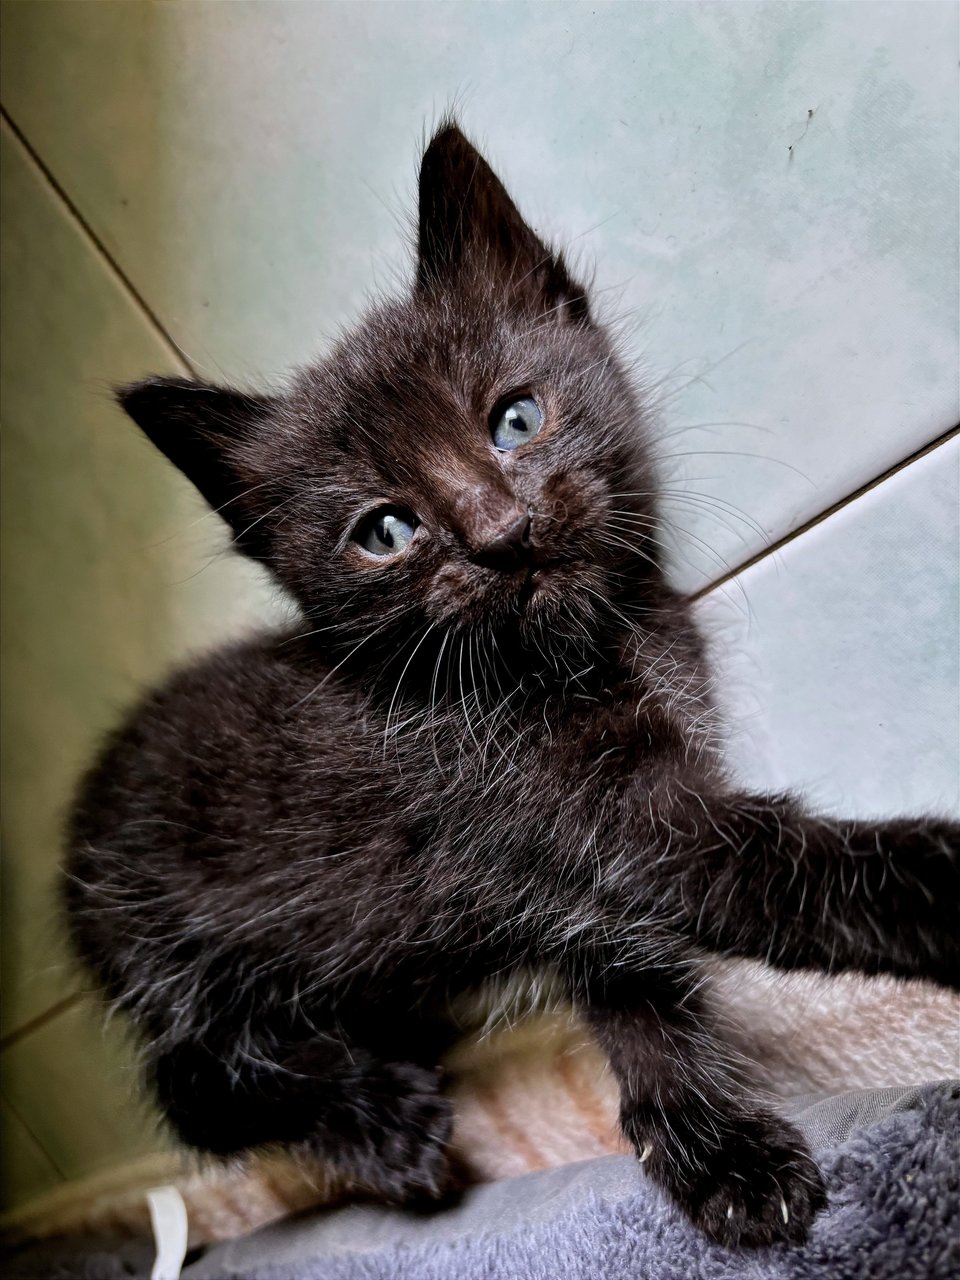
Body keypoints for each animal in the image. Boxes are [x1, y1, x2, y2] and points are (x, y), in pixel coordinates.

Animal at [64, 127, 957, 1249]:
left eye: (516, 420)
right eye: (385, 530)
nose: (502, 535)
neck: (594, 646)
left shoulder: (582, 869)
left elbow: (638, 989)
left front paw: (715, 1150)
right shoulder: (604, 821)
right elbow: (793, 876)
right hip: (171, 951)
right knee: (192, 1089)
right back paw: (379, 1123)